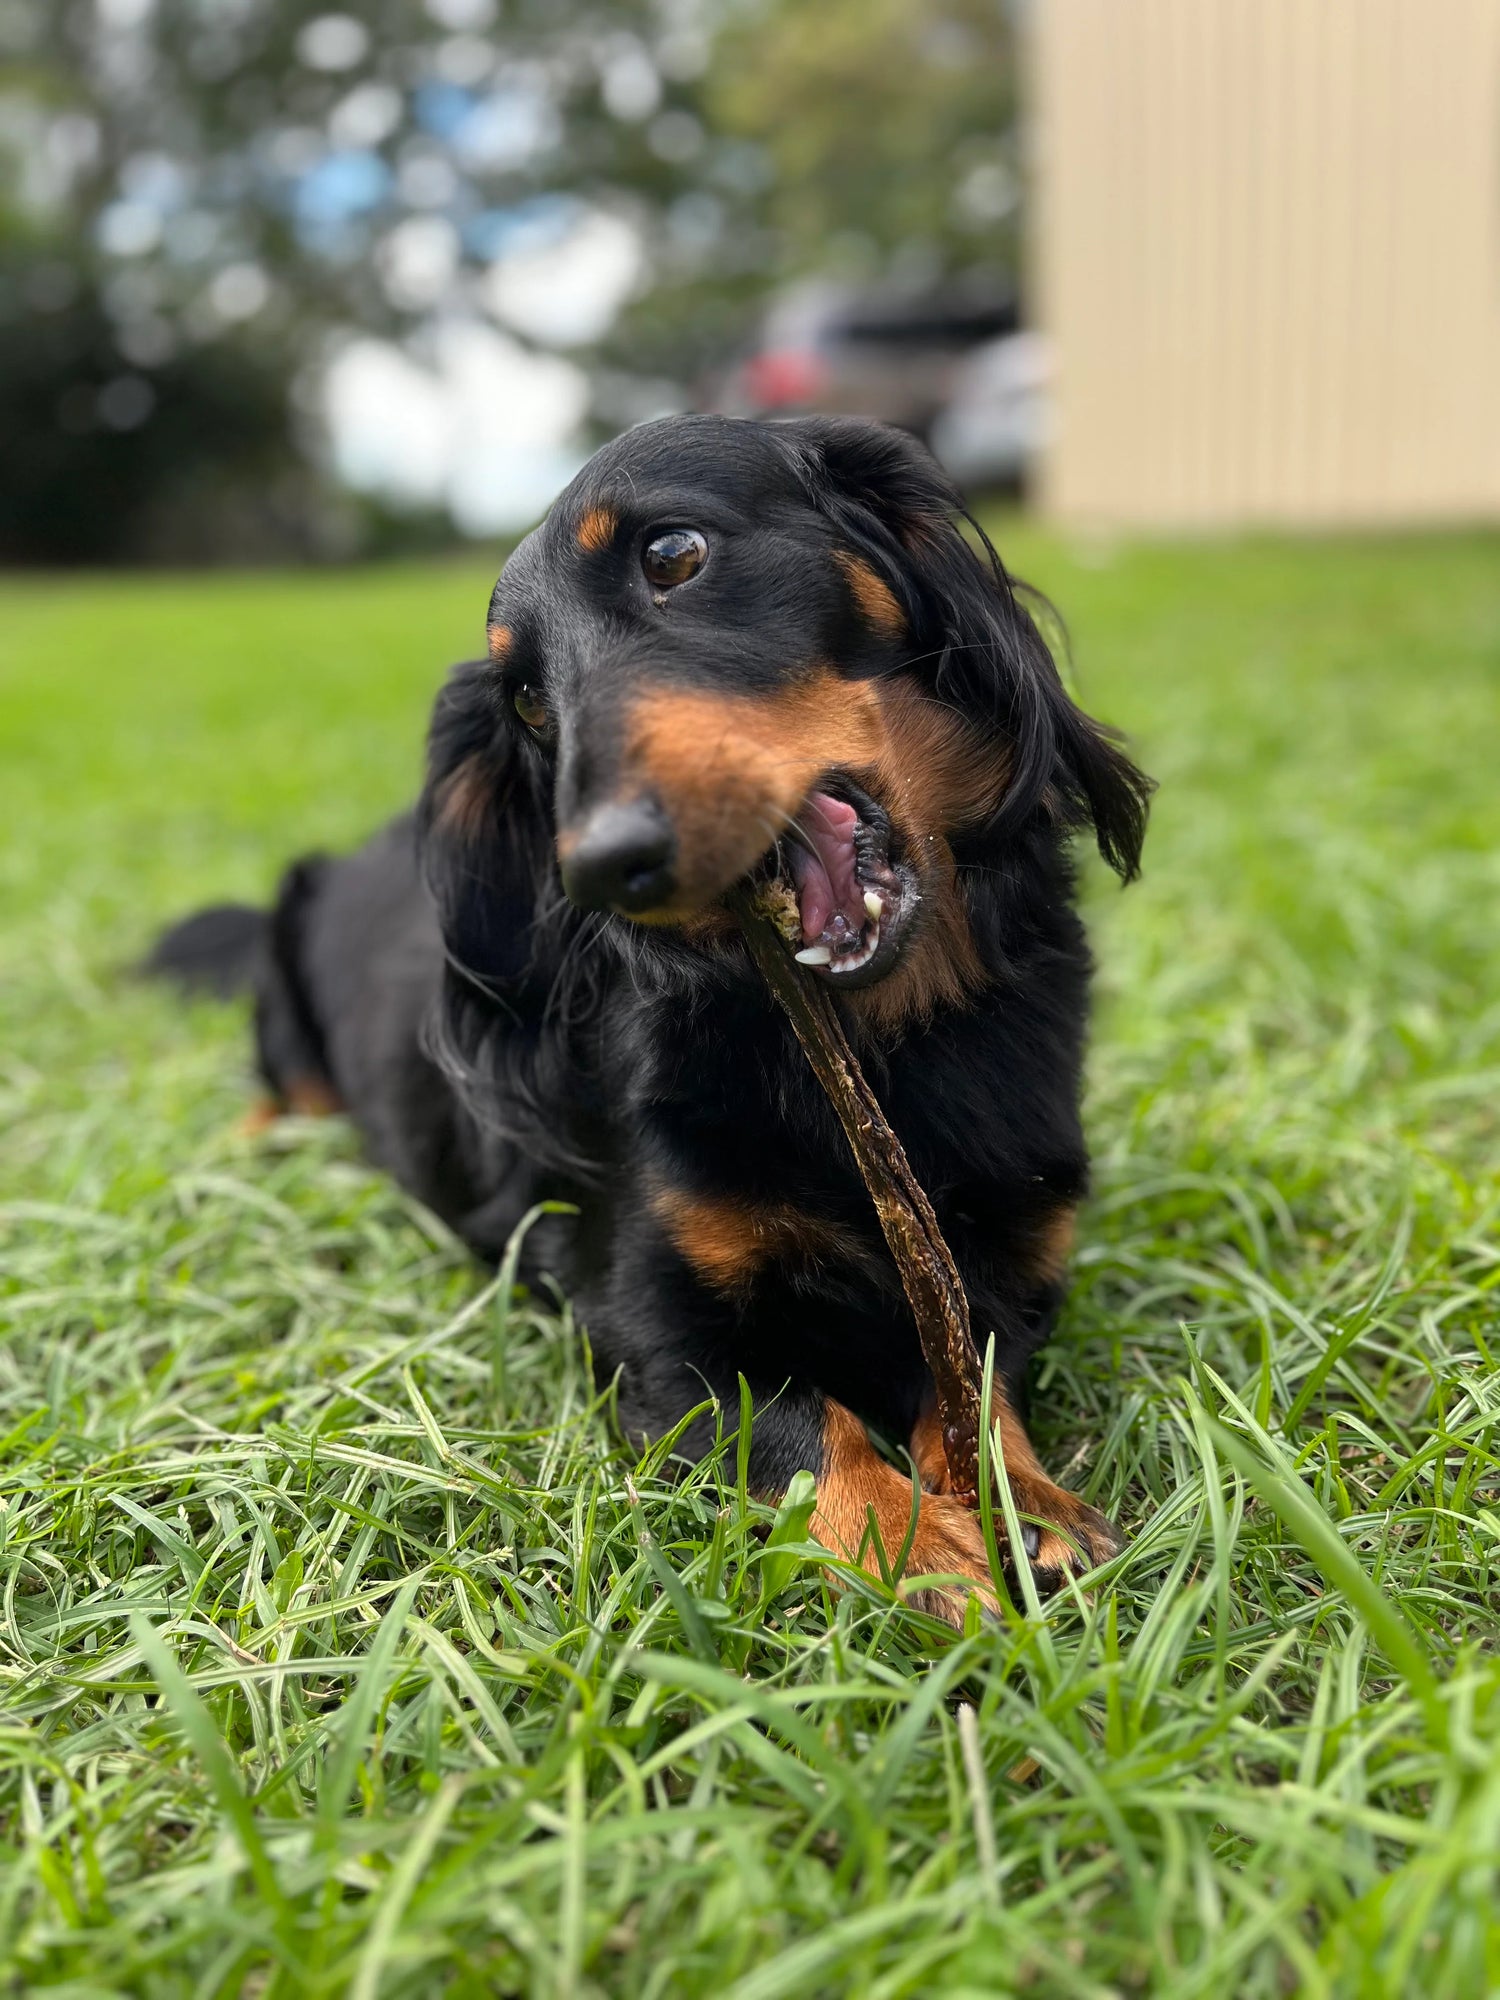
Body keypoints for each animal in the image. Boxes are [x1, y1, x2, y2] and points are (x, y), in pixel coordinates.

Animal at [156, 414, 1152, 1616]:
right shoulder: (646, 1324)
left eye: (673, 553)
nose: (602, 865)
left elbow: (976, 1385)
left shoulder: (1009, 1272)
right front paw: (918, 1543)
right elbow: (804, 1420)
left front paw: (1029, 1506)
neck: (875, 1051)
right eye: (528, 702)